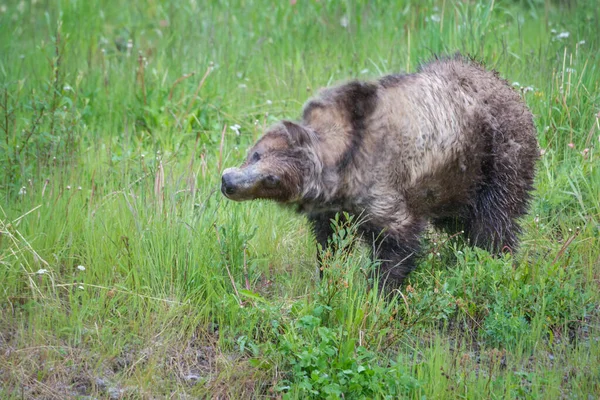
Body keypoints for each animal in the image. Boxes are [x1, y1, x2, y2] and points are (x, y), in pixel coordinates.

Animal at [221, 54, 540, 290]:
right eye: (257, 153)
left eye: (272, 179)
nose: (229, 182)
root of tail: (512, 89)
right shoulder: (334, 209)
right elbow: (330, 242)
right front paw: (328, 274)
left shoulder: (386, 195)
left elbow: (396, 249)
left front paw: (378, 292)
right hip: (456, 186)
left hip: (497, 160)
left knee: (495, 223)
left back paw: (491, 261)